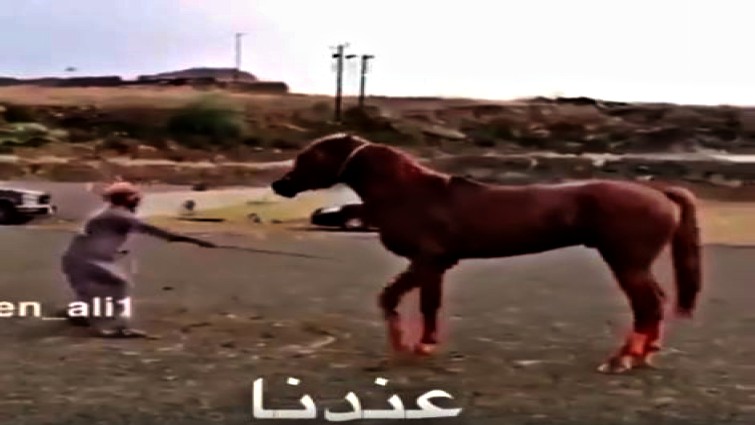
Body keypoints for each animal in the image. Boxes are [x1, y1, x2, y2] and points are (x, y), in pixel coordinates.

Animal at [271, 133, 702, 373]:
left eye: (311, 156)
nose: (280, 185)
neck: (409, 194)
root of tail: (659, 193)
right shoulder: (435, 264)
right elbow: (419, 303)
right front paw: (417, 345)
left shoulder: (427, 261)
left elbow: (400, 300)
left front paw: (408, 347)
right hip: (632, 263)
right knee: (655, 302)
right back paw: (645, 354)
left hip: (626, 262)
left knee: (647, 305)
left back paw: (622, 361)